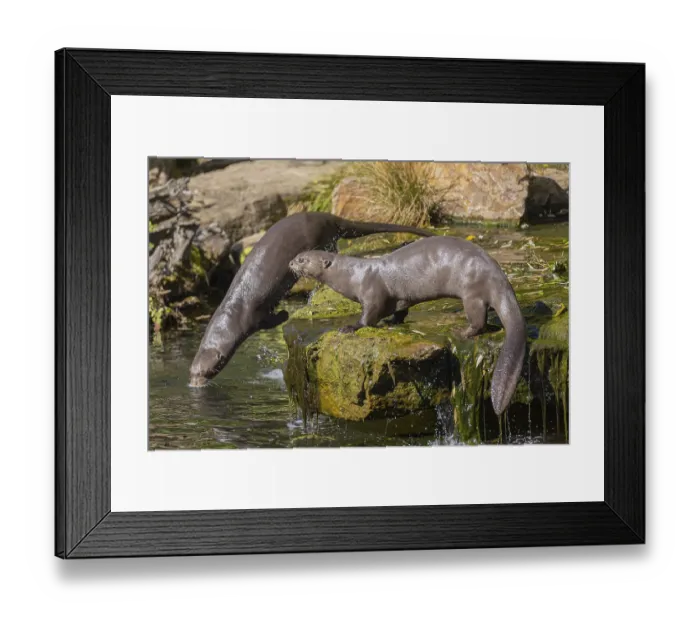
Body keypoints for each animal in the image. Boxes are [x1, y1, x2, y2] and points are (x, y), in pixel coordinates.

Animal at [189, 212, 434, 387]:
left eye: (211, 369)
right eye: (192, 372)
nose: (194, 384)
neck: (235, 309)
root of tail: (326, 216)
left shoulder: (254, 317)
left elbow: (272, 319)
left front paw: (285, 314)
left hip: (321, 236)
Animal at [289, 237, 526, 415]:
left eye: (302, 259)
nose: (290, 263)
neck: (351, 275)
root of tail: (499, 278)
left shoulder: (371, 292)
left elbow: (369, 315)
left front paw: (351, 327)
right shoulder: (397, 299)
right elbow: (399, 310)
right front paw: (392, 321)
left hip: (472, 291)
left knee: (479, 320)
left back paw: (463, 331)